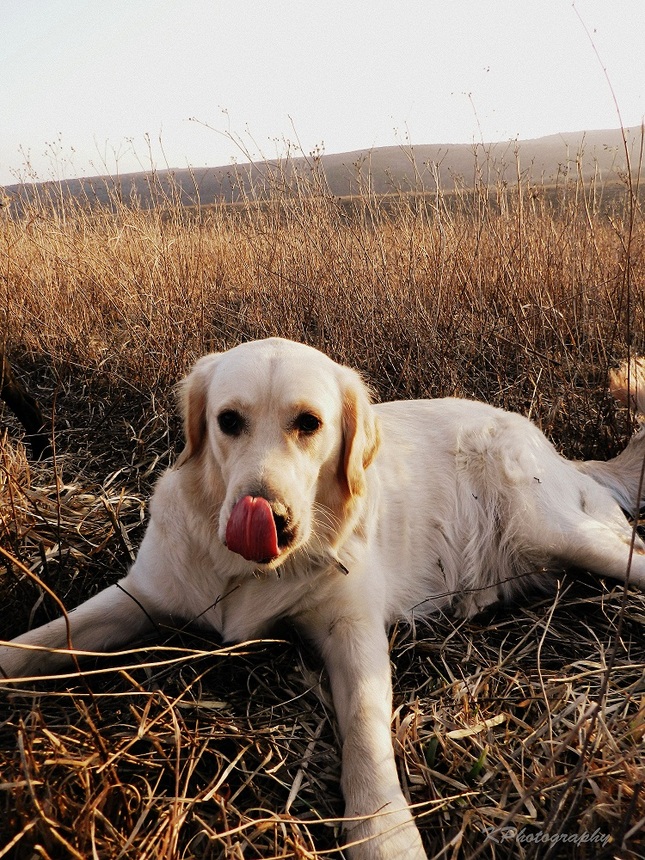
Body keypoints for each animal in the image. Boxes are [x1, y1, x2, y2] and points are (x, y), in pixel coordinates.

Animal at [1, 340, 644, 856]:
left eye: (308, 423)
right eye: (228, 420)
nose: (269, 518)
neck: (249, 572)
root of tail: (560, 452)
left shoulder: (351, 628)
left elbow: (364, 724)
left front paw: (383, 831)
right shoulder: (142, 593)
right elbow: (45, 639)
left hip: (553, 527)